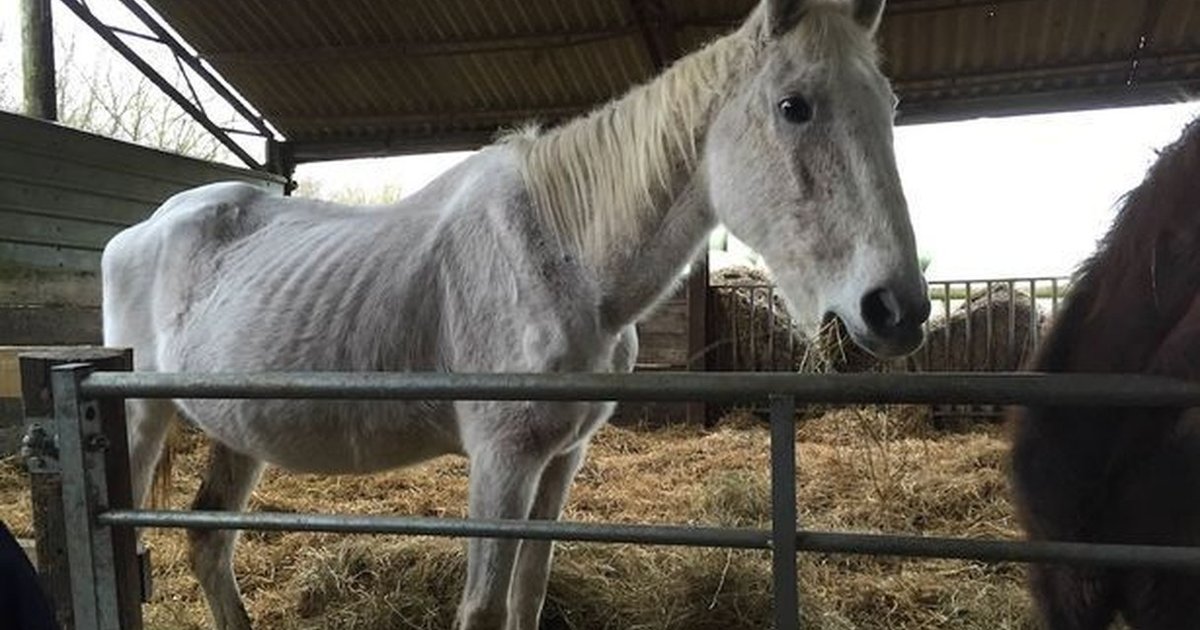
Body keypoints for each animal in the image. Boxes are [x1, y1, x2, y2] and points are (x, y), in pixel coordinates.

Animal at [101, 1, 929, 628]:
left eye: (889, 105)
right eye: (794, 106)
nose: (897, 308)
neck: (563, 257)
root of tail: (146, 227)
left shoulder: (560, 461)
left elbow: (527, 597)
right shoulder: (503, 463)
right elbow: (484, 608)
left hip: (237, 431)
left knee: (209, 547)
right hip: (139, 419)